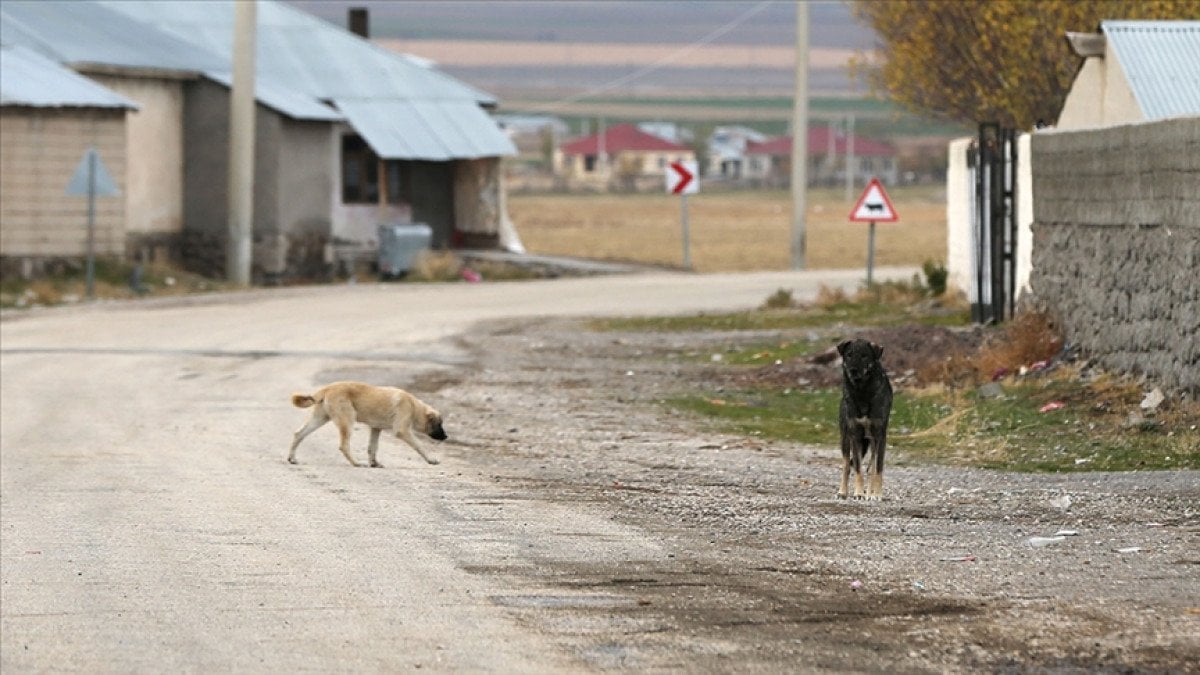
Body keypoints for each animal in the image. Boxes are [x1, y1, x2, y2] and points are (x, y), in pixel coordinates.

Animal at [288, 381, 448, 466]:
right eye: (439, 424)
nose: (446, 437)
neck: (414, 407)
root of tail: (327, 388)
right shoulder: (402, 430)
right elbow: (419, 445)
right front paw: (431, 459)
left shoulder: (376, 428)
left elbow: (373, 447)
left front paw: (374, 463)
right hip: (347, 420)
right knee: (344, 445)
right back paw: (356, 463)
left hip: (320, 419)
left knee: (299, 433)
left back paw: (292, 458)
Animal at [840, 336, 897, 499]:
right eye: (849, 355)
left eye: (864, 356)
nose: (853, 370)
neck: (862, 393)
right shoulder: (855, 436)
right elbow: (858, 468)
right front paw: (858, 493)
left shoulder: (880, 436)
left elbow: (877, 469)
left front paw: (876, 494)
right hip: (846, 439)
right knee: (847, 465)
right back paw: (842, 491)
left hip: (871, 442)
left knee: (871, 467)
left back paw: (870, 492)